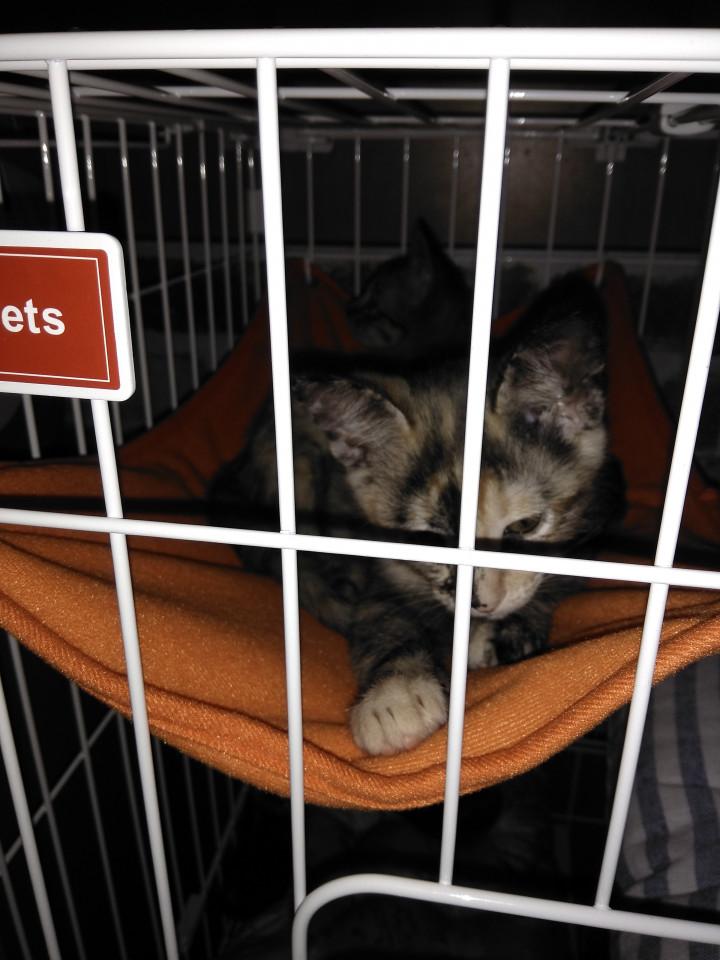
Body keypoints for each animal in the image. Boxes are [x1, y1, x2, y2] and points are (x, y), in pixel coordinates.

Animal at [209, 272, 623, 756]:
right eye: (428, 540)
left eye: (524, 526)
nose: (480, 604)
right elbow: (382, 616)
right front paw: (395, 696)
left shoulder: (602, 513)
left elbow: (561, 579)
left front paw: (503, 632)